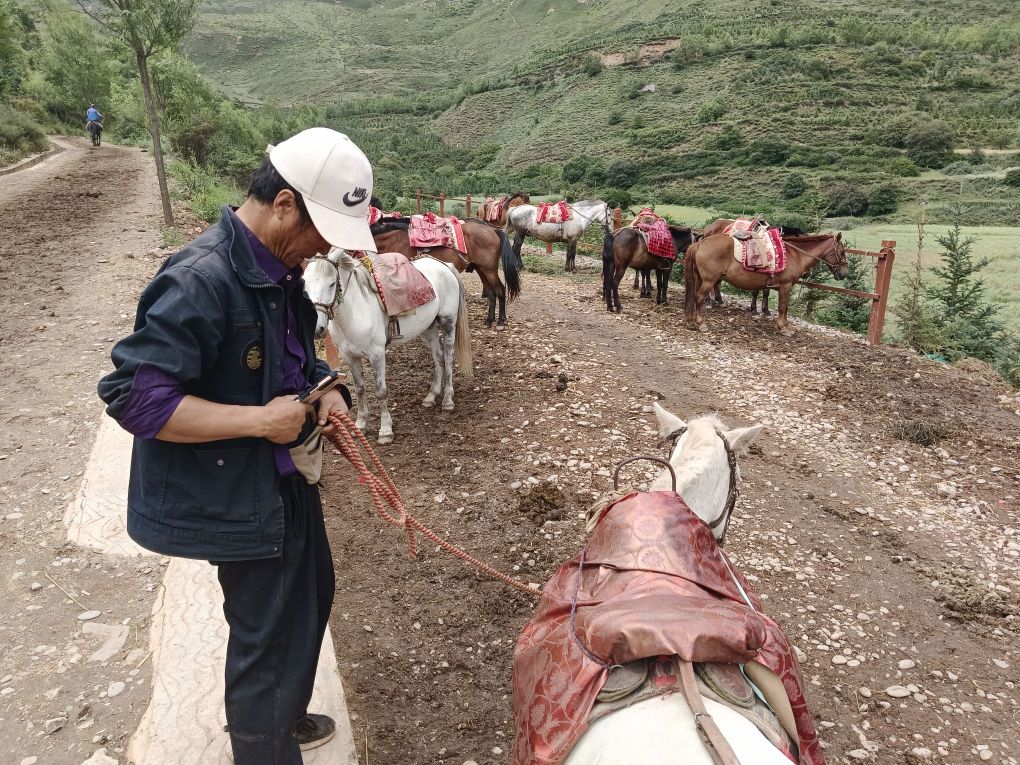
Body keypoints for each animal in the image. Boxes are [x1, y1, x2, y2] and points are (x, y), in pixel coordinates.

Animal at [301, 251, 473, 442]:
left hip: (448, 321)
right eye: (304, 283)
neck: (357, 310)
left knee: (448, 357)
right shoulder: (349, 356)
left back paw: (448, 400)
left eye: (332, 284)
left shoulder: (376, 355)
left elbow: (380, 391)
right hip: (427, 329)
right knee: (439, 356)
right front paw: (360, 425)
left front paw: (385, 430)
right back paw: (431, 395)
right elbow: (360, 388)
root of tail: (444, 265)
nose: (316, 328)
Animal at [371, 218, 522, 332]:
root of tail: (492, 230)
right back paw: (489, 321)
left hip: (489, 269)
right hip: (481, 269)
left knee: (500, 290)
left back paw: (501, 322)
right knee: (491, 293)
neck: (394, 240)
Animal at [685, 230, 852, 332]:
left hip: (701, 279)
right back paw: (701, 323)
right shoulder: (785, 286)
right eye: (842, 252)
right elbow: (783, 307)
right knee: (699, 298)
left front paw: (785, 325)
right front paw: (783, 327)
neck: (794, 254)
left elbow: (785, 307)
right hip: (708, 281)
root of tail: (700, 243)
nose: (844, 273)